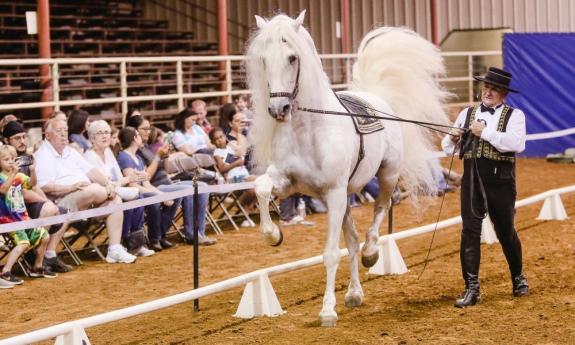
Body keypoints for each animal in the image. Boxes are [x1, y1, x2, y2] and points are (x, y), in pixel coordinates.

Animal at [248, 12, 450, 326]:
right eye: (264, 60)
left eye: (292, 57)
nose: (278, 110)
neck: (310, 129)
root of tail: (375, 97)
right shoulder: (288, 183)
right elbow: (261, 188)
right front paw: (273, 235)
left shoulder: (333, 192)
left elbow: (331, 254)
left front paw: (327, 311)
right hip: (345, 198)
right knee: (353, 241)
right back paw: (354, 294)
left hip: (385, 176)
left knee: (381, 210)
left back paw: (372, 254)